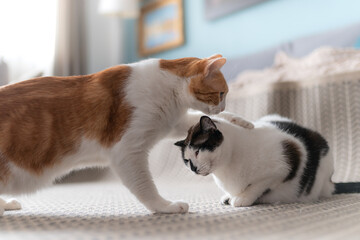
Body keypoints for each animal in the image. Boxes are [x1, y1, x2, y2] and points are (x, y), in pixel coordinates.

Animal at [0, 54, 253, 216]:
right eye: (221, 93)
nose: (221, 106)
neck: (169, 91)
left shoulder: (172, 123)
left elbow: (199, 120)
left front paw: (241, 121)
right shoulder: (128, 151)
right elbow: (146, 186)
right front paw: (166, 207)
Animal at [174, 114, 334, 206]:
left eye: (197, 151)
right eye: (187, 160)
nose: (193, 168)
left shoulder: (285, 163)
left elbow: (257, 185)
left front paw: (242, 198)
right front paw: (230, 196)